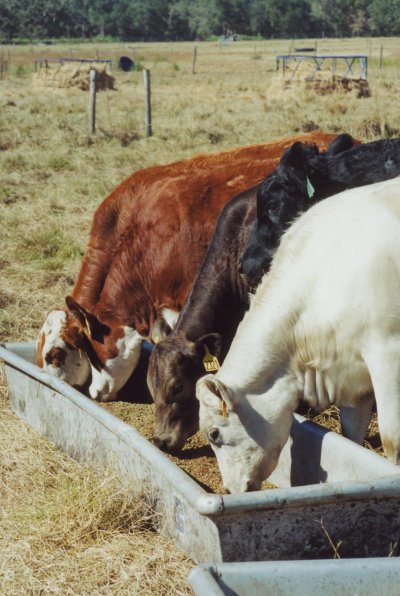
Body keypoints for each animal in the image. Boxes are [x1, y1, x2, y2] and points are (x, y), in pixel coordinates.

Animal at [197, 177, 400, 494]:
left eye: (214, 433)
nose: (229, 490)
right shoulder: (353, 382)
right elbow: (352, 434)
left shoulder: (387, 355)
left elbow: (393, 441)